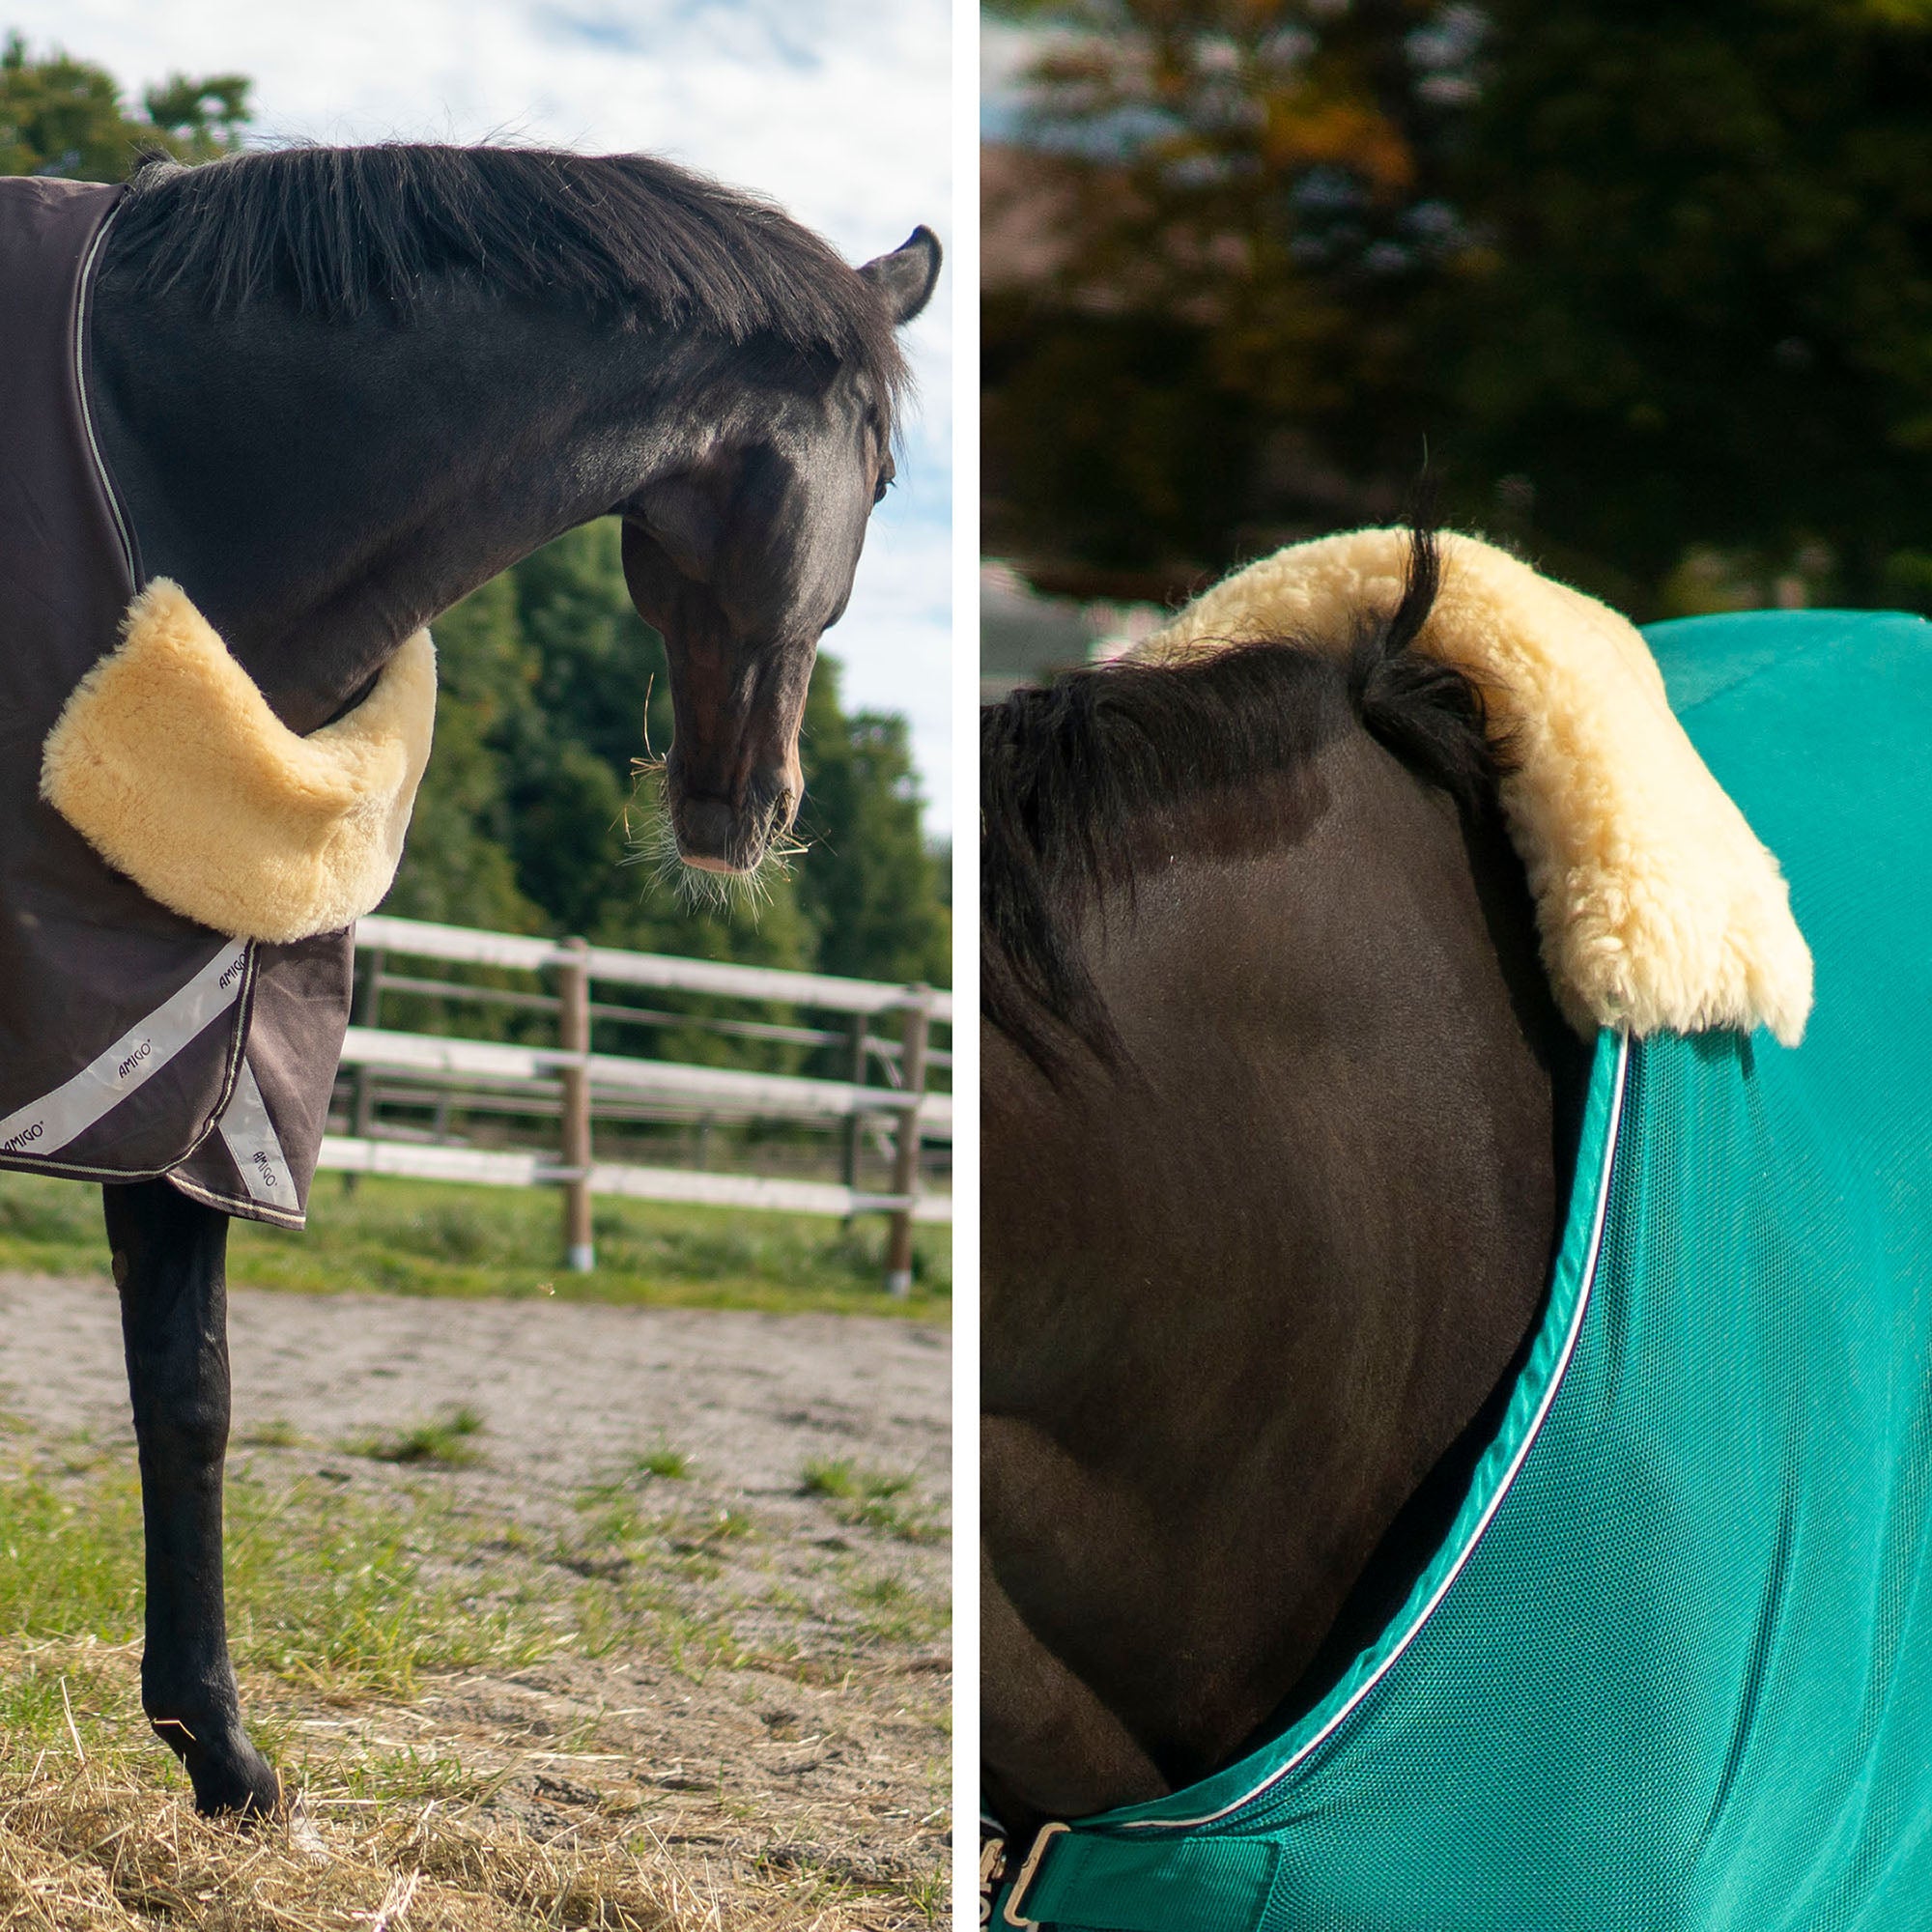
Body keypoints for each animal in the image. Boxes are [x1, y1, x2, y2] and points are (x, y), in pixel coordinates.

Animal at [2, 142, 938, 1818]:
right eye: (887, 483)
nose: (757, 808)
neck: (166, 464)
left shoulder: (191, 1049)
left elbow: (189, 1388)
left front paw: (221, 1753)